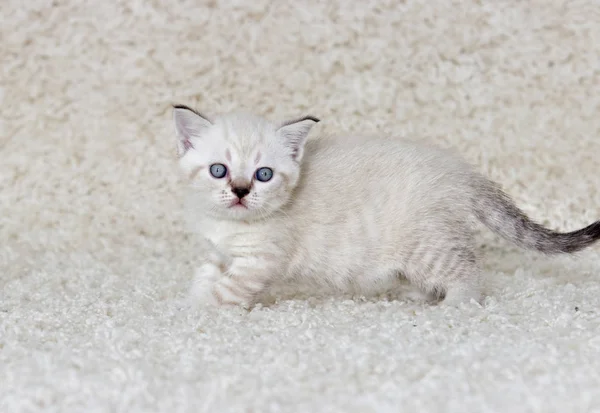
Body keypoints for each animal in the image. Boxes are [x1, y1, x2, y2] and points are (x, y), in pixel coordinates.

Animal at [170, 104, 600, 308]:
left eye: (263, 175)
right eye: (219, 170)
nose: (241, 191)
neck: (231, 226)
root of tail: (460, 173)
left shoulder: (260, 261)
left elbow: (227, 289)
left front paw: (197, 308)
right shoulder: (221, 252)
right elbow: (208, 271)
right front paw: (196, 291)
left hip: (429, 247)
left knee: (470, 271)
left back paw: (455, 304)